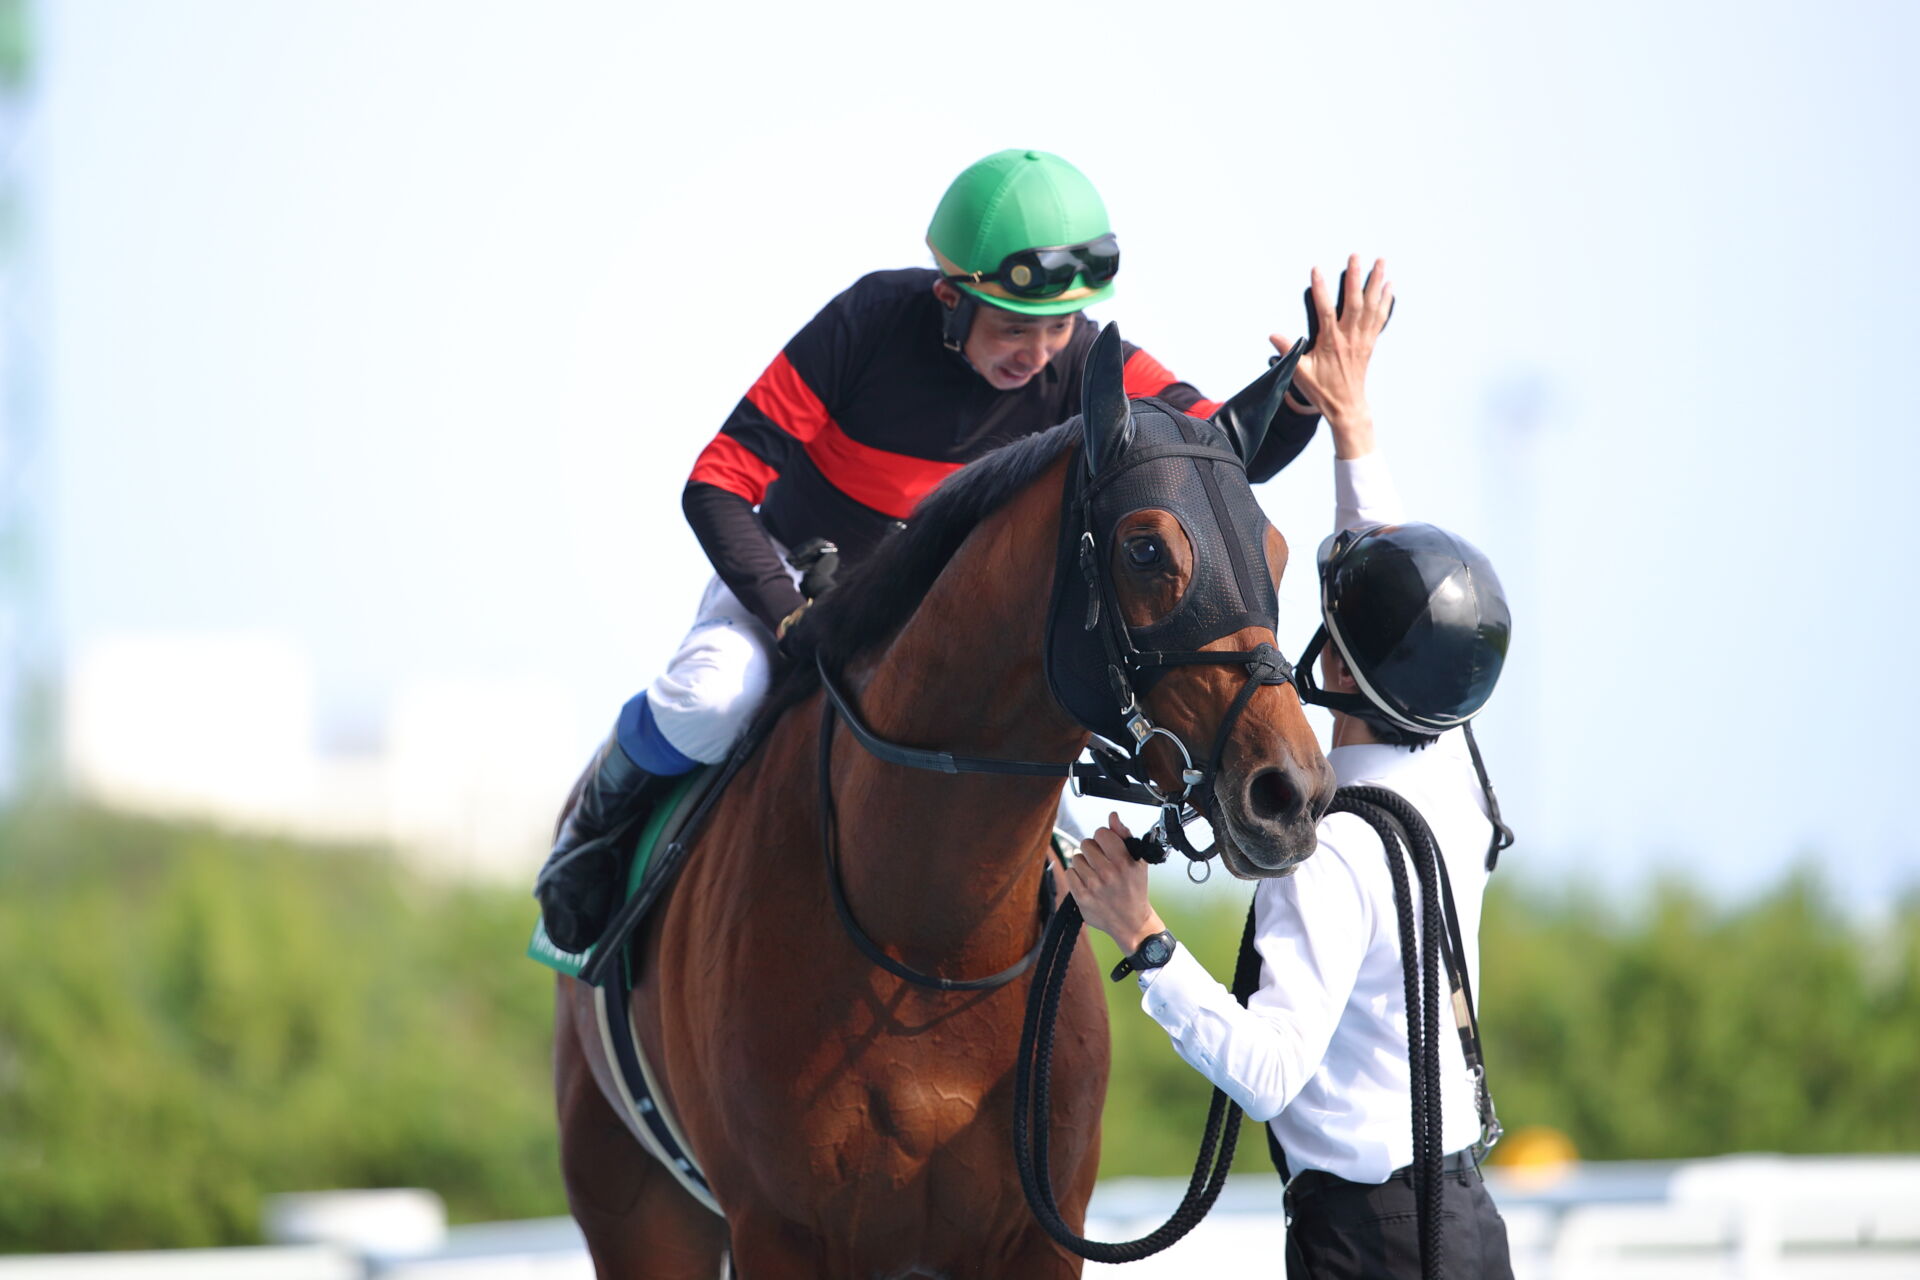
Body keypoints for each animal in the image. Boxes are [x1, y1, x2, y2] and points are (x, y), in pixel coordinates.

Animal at [552, 326, 1336, 1274]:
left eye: (1277, 550)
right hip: (636, 1208)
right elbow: (725, 470)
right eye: (1147, 548)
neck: (929, 943)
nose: (1290, 794)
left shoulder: (1039, 1229)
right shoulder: (780, 1229)